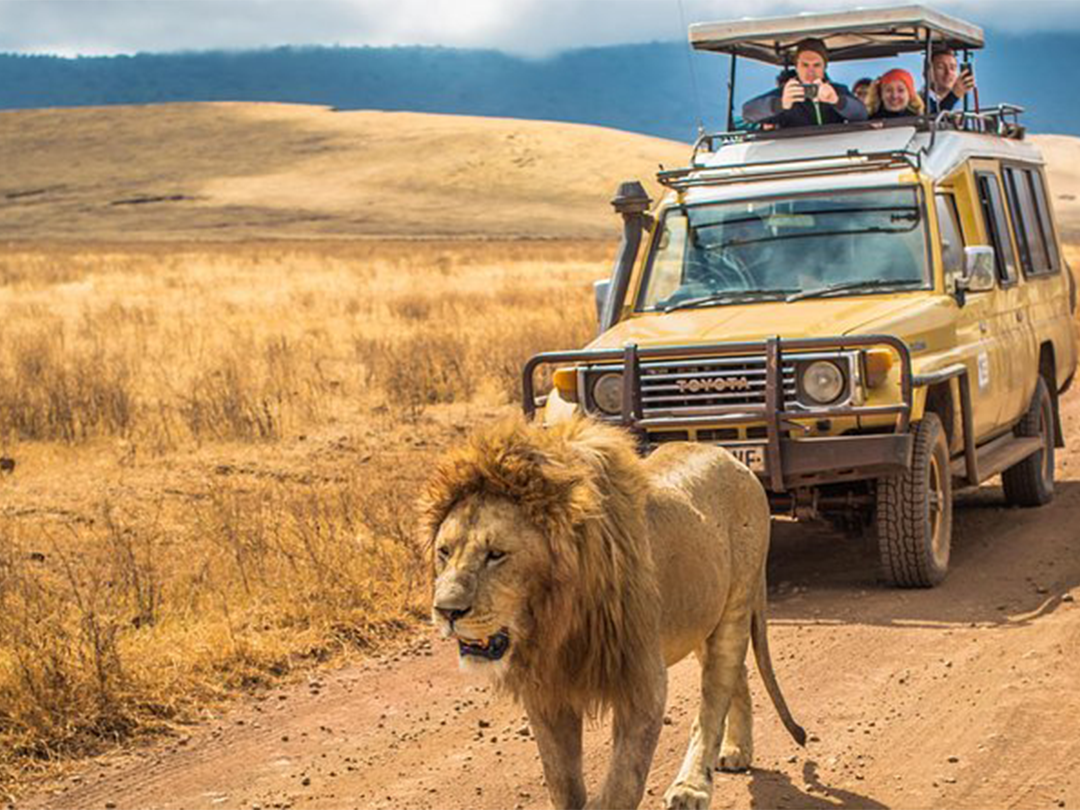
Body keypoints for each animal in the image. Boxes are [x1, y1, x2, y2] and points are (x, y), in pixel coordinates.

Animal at [419, 419, 803, 810]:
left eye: (496, 554)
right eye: (444, 552)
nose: (446, 611)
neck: (555, 620)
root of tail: (731, 458)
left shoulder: (641, 680)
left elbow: (622, 783)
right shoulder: (547, 687)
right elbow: (562, 781)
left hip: (735, 605)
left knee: (715, 696)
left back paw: (692, 786)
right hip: (700, 616)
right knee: (737, 674)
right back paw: (737, 750)